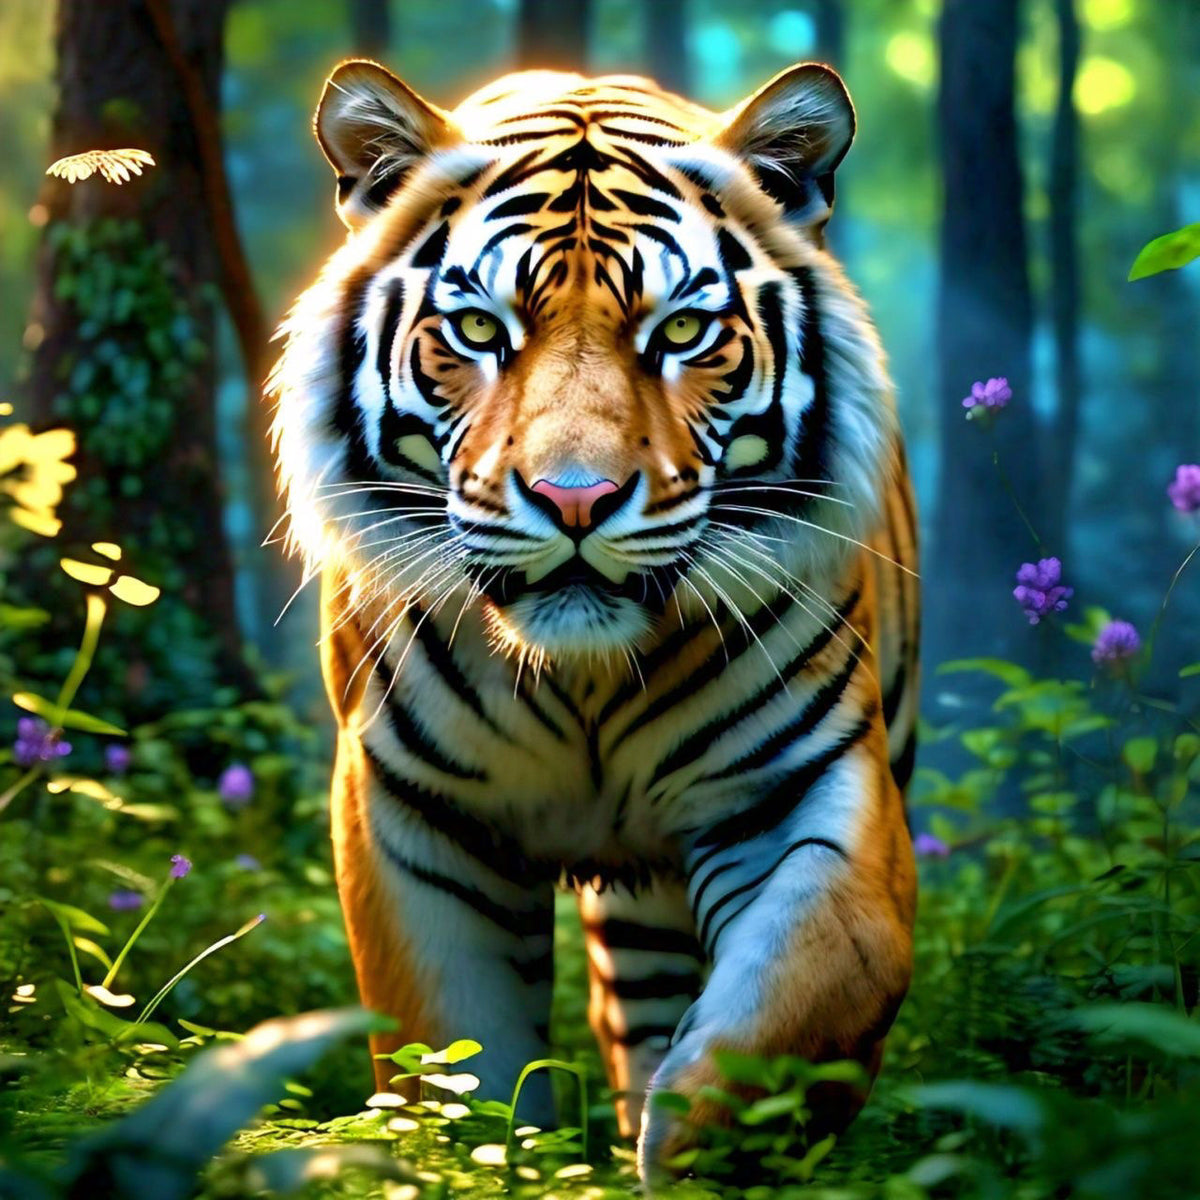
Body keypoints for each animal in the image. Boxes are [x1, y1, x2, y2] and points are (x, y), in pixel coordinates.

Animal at [269, 56, 919, 1183]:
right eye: (480, 329)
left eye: (682, 332)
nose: (576, 500)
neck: (582, 678)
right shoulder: (414, 816)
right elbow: (452, 1062)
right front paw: (483, 1167)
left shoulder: (808, 786)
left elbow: (811, 992)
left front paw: (697, 1150)